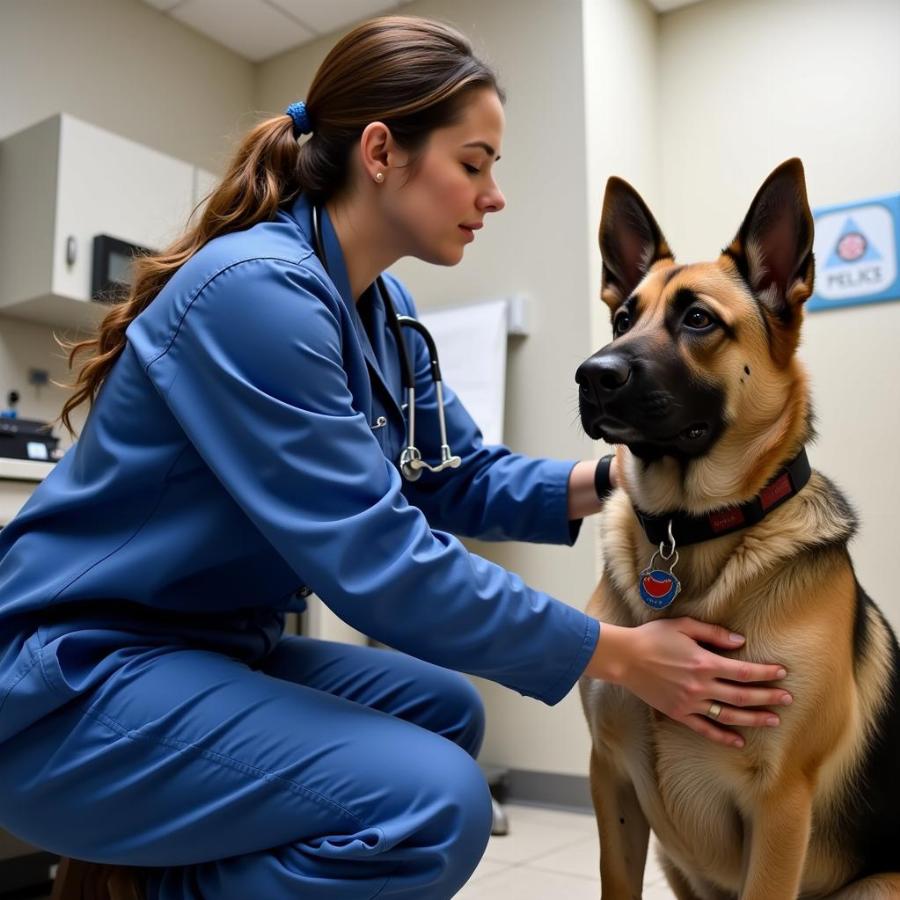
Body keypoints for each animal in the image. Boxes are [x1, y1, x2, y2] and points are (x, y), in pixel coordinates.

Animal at [576, 162, 900, 900]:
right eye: (622, 317)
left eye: (698, 319)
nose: (592, 375)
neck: (686, 530)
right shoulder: (610, 779)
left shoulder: (780, 808)